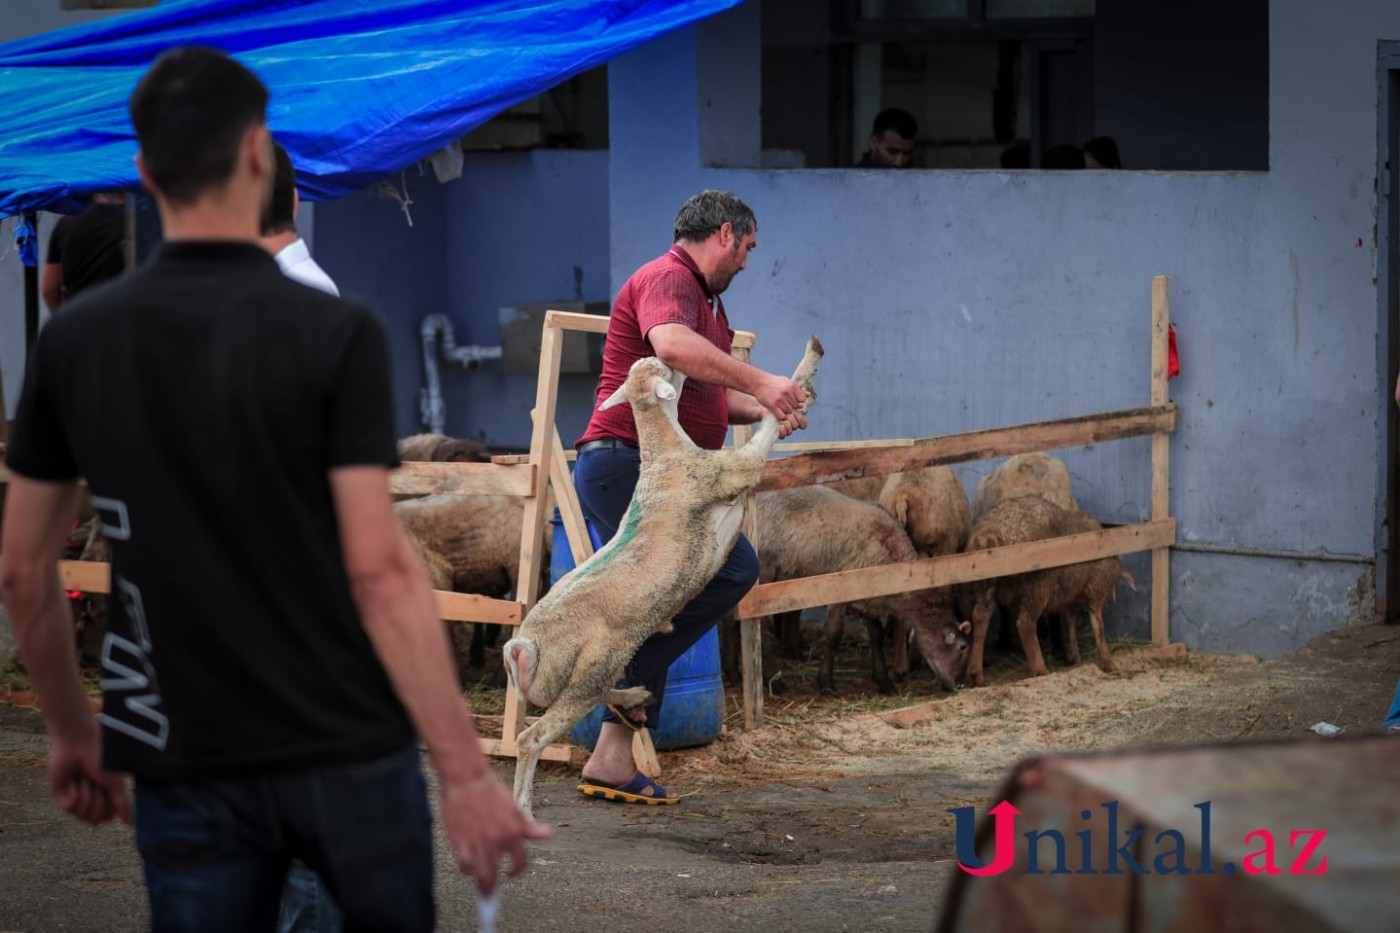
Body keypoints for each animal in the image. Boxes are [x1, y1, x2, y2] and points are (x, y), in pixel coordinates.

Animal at [501, 334, 817, 812]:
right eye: (662, 365)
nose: (672, 355)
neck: (666, 453)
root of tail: (526, 648)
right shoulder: (730, 471)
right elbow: (764, 428)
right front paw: (801, 378)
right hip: (589, 667)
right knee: (530, 739)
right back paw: (522, 808)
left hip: (593, 671)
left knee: (594, 696)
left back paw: (634, 696)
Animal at [761, 481, 968, 694]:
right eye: (962, 649)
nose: (959, 684)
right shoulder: (840, 591)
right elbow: (833, 635)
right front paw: (826, 683)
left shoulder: (869, 597)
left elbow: (876, 636)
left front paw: (884, 681)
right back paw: (774, 681)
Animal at [963, 493, 1125, 683]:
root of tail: (991, 533)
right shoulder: (1095, 590)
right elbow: (1098, 626)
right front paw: (1108, 663)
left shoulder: (1070, 598)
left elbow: (1070, 622)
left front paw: (1074, 656)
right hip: (1038, 585)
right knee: (1025, 623)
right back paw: (1041, 669)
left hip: (987, 584)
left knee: (980, 617)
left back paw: (976, 674)